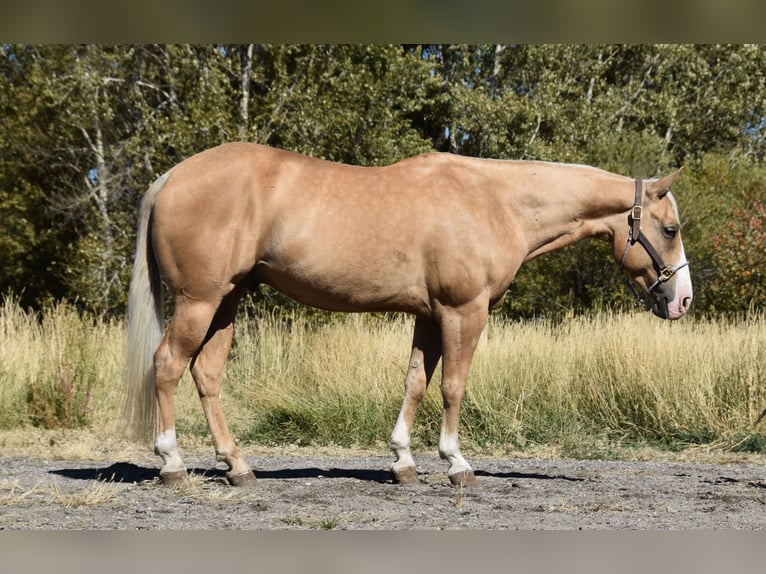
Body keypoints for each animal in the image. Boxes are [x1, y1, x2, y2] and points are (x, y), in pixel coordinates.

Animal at [124, 142, 693, 487]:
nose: (682, 300)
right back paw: (171, 463)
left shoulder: (429, 314)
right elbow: (453, 386)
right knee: (169, 365)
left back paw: (238, 466)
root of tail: (172, 176)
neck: (494, 202)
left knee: (207, 373)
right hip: (200, 300)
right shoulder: (464, 311)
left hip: (228, 299)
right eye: (668, 229)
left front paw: (403, 460)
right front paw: (456, 462)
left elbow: (416, 381)